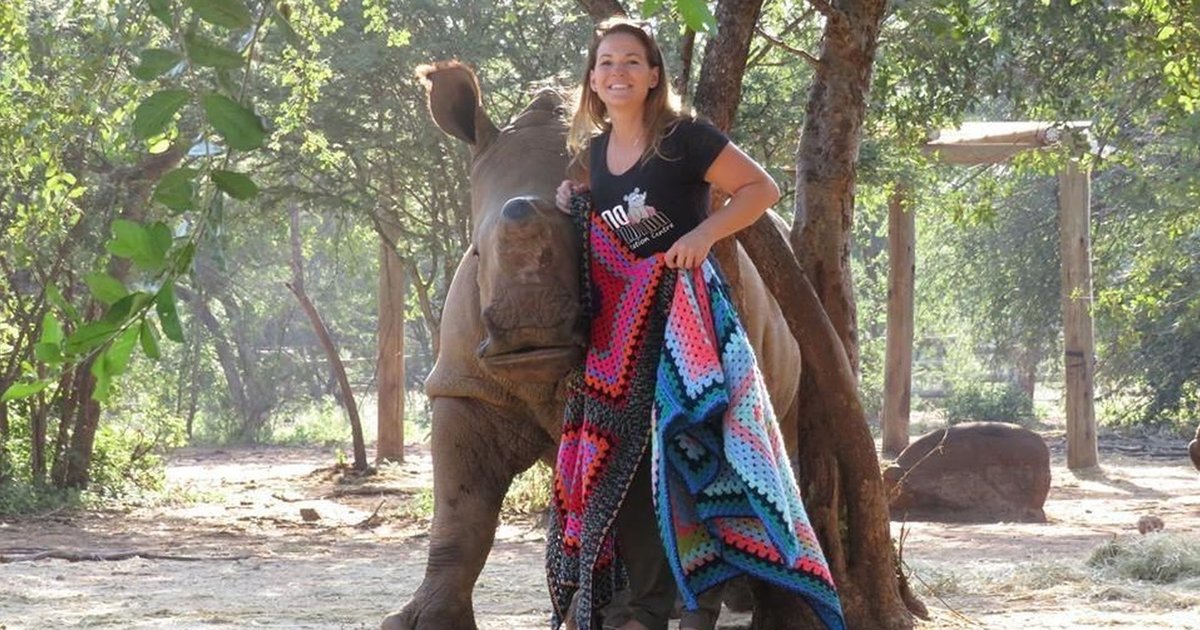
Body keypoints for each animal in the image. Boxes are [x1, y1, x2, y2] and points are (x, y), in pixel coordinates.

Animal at [383, 61, 802, 630]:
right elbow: (459, 512)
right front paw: (419, 621)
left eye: (588, 248)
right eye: (474, 254)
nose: (530, 335)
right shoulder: (464, 384)